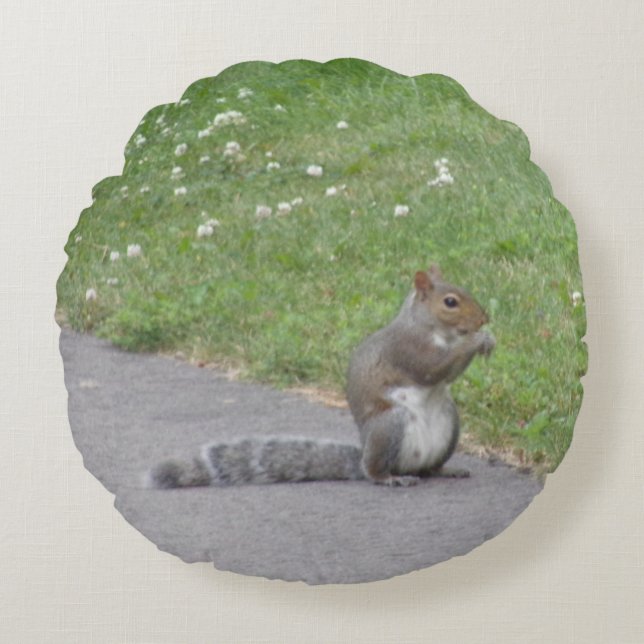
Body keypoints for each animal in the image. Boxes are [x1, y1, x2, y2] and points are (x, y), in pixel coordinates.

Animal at [147, 264, 495, 489]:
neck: (430, 327)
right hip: (389, 426)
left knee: (431, 468)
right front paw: (476, 341)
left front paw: (486, 339)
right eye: (450, 302)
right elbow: (435, 368)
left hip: (450, 423)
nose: (483, 319)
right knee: (376, 470)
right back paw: (391, 477)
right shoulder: (408, 350)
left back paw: (446, 470)